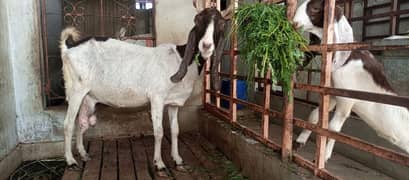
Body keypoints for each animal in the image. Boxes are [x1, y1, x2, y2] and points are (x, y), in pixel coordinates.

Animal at [61, 4, 233, 173]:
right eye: (197, 21)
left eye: (221, 23)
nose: (206, 46)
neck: (180, 59)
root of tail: (69, 47)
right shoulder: (156, 98)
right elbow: (159, 131)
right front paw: (159, 163)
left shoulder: (173, 103)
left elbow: (175, 130)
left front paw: (177, 159)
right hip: (76, 90)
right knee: (68, 124)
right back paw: (70, 161)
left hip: (87, 98)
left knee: (82, 122)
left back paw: (83, 154)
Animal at [292, 0, 408, 161]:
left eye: (315, 8)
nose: (294, 23)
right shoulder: (332, 94)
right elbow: (315, 115)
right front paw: (299, 142)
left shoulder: (346, 99)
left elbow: (333, 128)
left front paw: (324, 156)